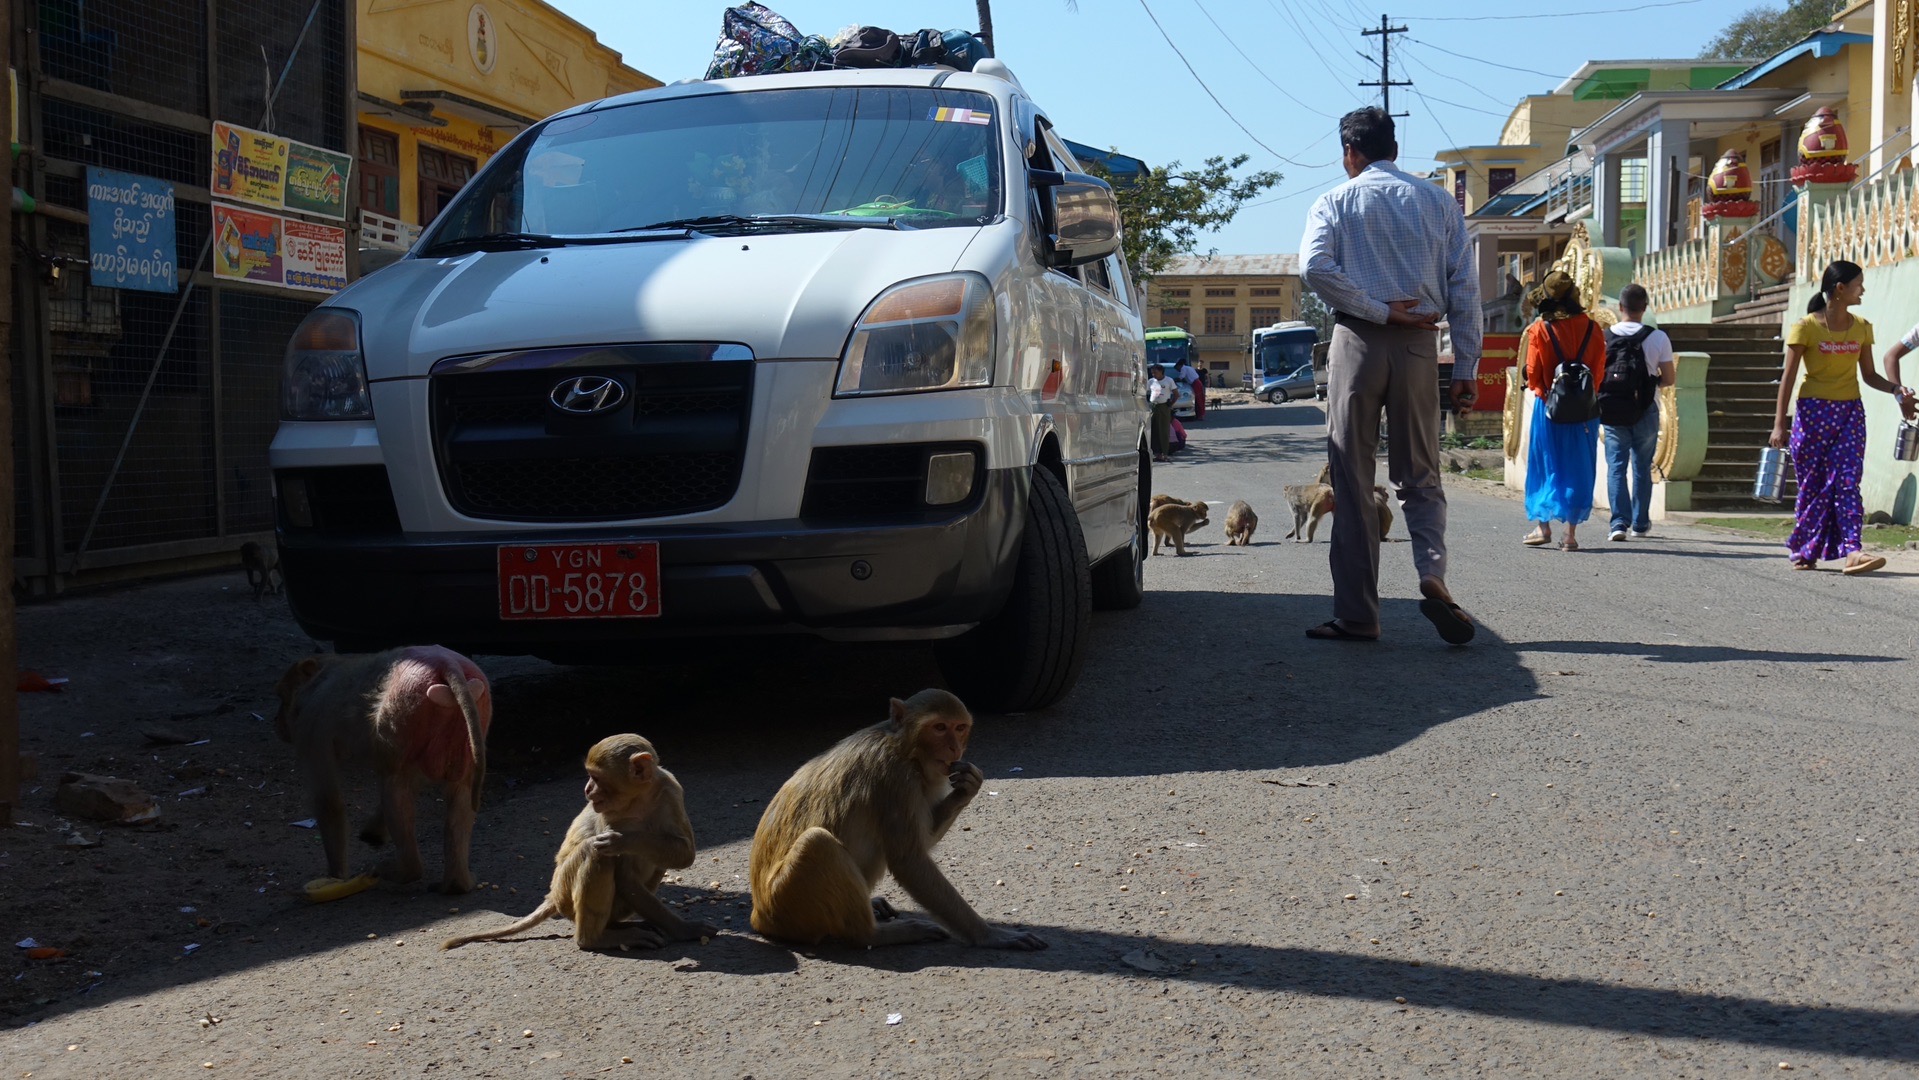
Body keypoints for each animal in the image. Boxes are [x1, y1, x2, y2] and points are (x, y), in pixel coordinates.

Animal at [274, 648, 491, 890]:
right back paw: (456, 884)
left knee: (395, 783)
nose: (277, 722)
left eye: (283, 696)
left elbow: (328, 802)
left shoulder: (309, 725)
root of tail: (446, 663)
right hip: (469, 716)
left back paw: (405, 871)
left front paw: (336, 877)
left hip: (404, 705)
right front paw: (374, 831)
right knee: (462, 789)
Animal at [443, 736, 721, 955]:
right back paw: (595, 939)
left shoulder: (671, 790)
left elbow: (685, 853)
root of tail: (552, 896)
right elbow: (622, 873)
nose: (587, 789)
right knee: (595, 853)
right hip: (566, 893)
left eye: (596, 777)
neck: (638, 799)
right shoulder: (608, 816)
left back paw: (616, 927)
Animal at [748, 690, 1051, 951]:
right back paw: (874, 935)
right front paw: (990, 935)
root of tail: (758, 916)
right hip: (787, 904)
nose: (954, 748)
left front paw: (967, 788)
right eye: (939, 728)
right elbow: (909, 860)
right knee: (818, 843)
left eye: (959, 728)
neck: (905, 748)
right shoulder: (895, 778)